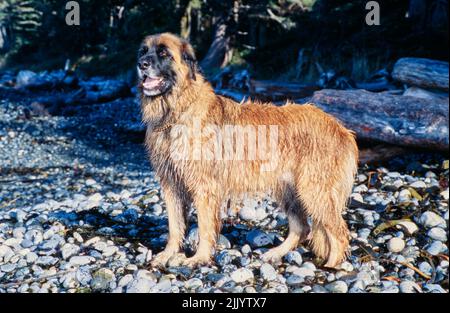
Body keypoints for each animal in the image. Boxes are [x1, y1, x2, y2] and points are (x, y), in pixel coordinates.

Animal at [137, 32, 358, 268]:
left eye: (163, 53)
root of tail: (341, 128)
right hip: (289, 190)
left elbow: (204, 227)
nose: (141, 64)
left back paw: (332, 266)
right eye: (143, 51)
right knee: (302, 227)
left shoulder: (204, 187)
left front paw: (199, 258)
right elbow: (174, 227)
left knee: (339, 232)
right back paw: (276, 253)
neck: (176, 110)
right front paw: (167, 254)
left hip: (313, 189)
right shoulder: (171, 185)